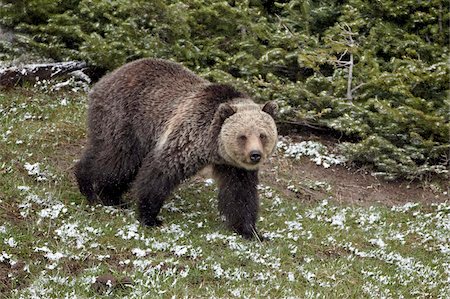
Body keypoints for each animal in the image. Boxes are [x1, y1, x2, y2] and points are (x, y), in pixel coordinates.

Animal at [74, 58, 278, 240]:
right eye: (242, 136)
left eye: (262, 135)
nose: (255, 155)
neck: (213, 147)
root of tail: (105, 78)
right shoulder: (187, 136)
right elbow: (161, 172)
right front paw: (150, 218)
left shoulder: (234, 166)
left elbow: (240, 193)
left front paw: (251, 232)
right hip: (126, 119)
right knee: (119, 160)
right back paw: (100, 192)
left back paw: (98, 190)